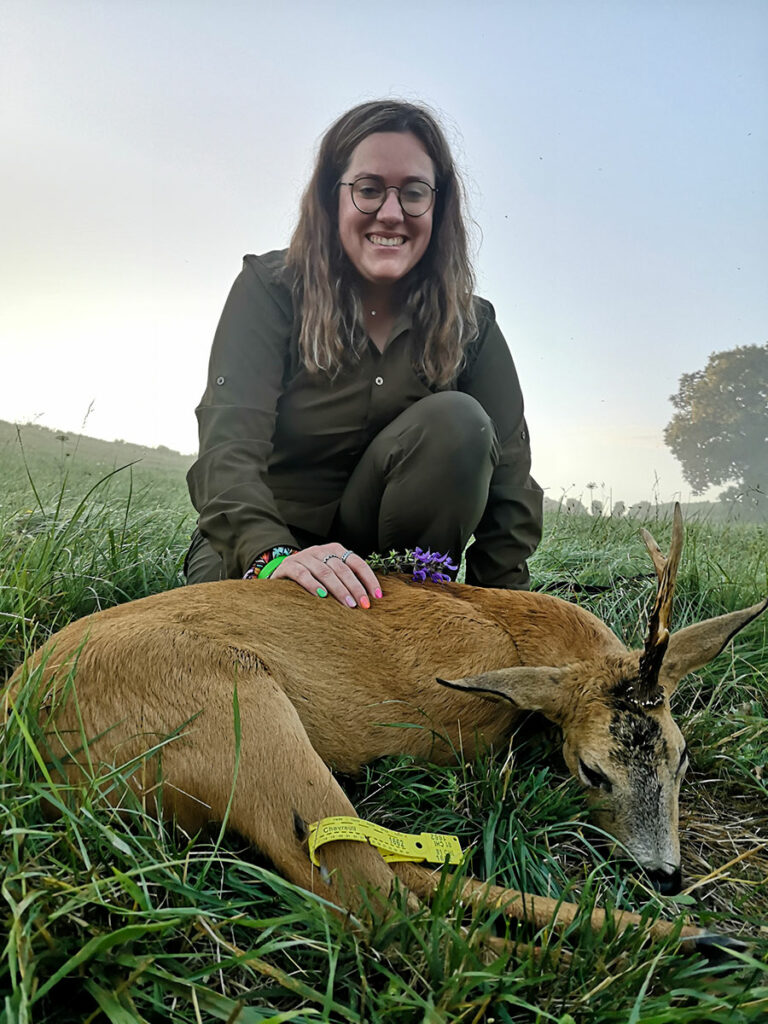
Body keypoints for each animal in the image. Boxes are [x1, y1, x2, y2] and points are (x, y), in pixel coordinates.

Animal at [7, 507, 768, 962]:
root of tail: (27, 734)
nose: (666, 874)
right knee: (387, 907)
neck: (507, 628)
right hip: (240, 712)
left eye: (683, 759)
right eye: (592, 771)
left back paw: (705, 940)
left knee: (405, 876)